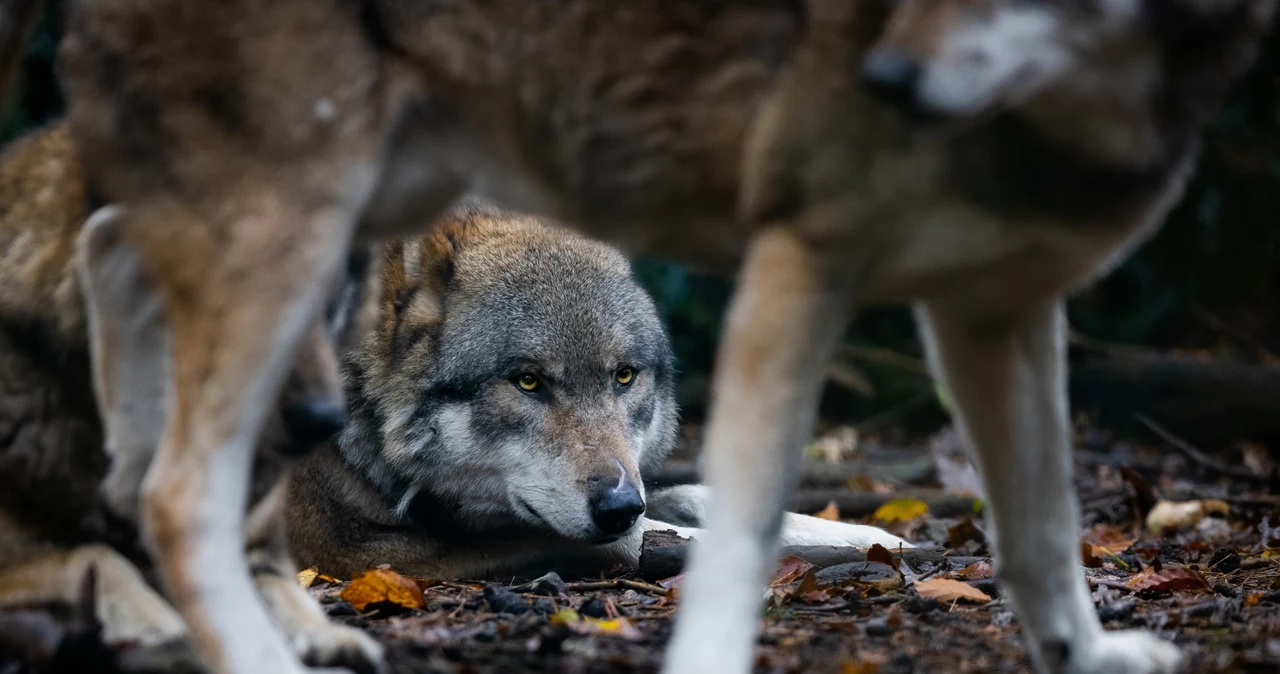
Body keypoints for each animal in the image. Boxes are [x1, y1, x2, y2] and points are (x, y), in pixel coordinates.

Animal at [0, 124, 378, 670]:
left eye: (325, 301)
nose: (322, 420)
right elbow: (93, 556)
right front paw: (158, 623)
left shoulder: (253, 543)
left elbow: (282, 591)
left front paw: (326, 635)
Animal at [285, 200, 906, 580]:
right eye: (528, 381)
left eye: (624, 376)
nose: (618, 506)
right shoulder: (369, 553)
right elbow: (645, 540)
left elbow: (693, 496)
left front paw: (873, 536)